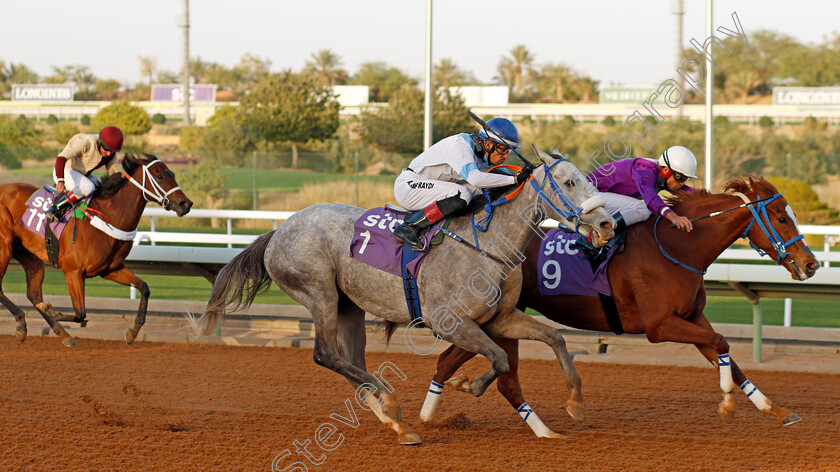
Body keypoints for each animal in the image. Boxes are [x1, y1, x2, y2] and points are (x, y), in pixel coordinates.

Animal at [0, 152, 192, 346]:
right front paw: (52, 310)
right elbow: (80, 313)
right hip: (4, 249)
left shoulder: (110, 269)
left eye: (172, 174)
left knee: (34, 294)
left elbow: (144, 287)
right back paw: (24, 323)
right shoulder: (73, 272)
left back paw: (59, 334)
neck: (108, 217)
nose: (186, 204)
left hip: (29, 255)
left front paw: (132, 332)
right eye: (160, 176)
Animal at [189, 149, 612, 444]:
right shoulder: (449, 322)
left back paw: (397, 424)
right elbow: (499, 358)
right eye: (570, 183)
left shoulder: (499, 318)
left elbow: (553, 338)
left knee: (351, 362)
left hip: (350, 306)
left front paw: (575, 403)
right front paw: (467, 386)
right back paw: (391, 403)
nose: (607, 223)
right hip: (319, 293)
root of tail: (278, 231)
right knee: (326, 355)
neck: (485, 243)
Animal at [424, 177, 816, 436]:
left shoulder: (693, 318)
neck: (677, 247)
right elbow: (722, 343)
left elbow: (727, 357)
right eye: (782, 218)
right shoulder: (659, 326)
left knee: (454, 364)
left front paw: (776, 409)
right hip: (489, 318)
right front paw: (728, 405)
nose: (810, 263)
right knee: (479, 370)